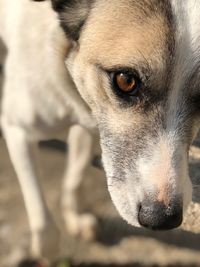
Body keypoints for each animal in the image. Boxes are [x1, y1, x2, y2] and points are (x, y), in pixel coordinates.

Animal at [0, 0, 200, 260]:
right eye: (125, 80)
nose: (161, 219)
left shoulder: (93, 123)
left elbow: (75, 175)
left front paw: (74, 217)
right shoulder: (17, 130)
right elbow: (42, 217)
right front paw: (47, 252)